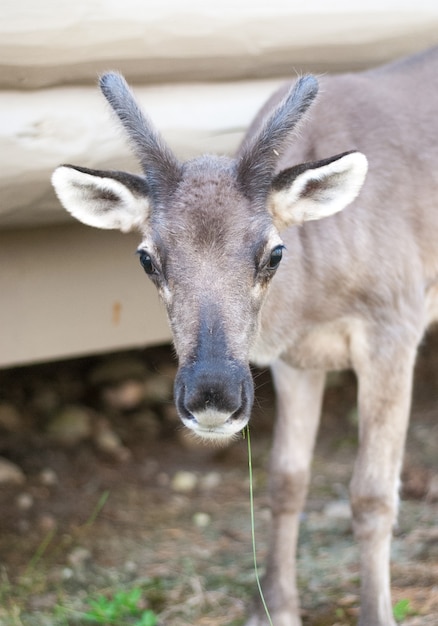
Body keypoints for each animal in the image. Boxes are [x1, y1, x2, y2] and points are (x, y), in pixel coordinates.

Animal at [52, 46, 438, 620]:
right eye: (147, 258)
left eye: (274, 253)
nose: (213, 393)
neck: (312, 301)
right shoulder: (296, 361)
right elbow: (285, 480)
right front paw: (274, 607)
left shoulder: (395, 325)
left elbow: (372, 493)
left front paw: (378, 616)